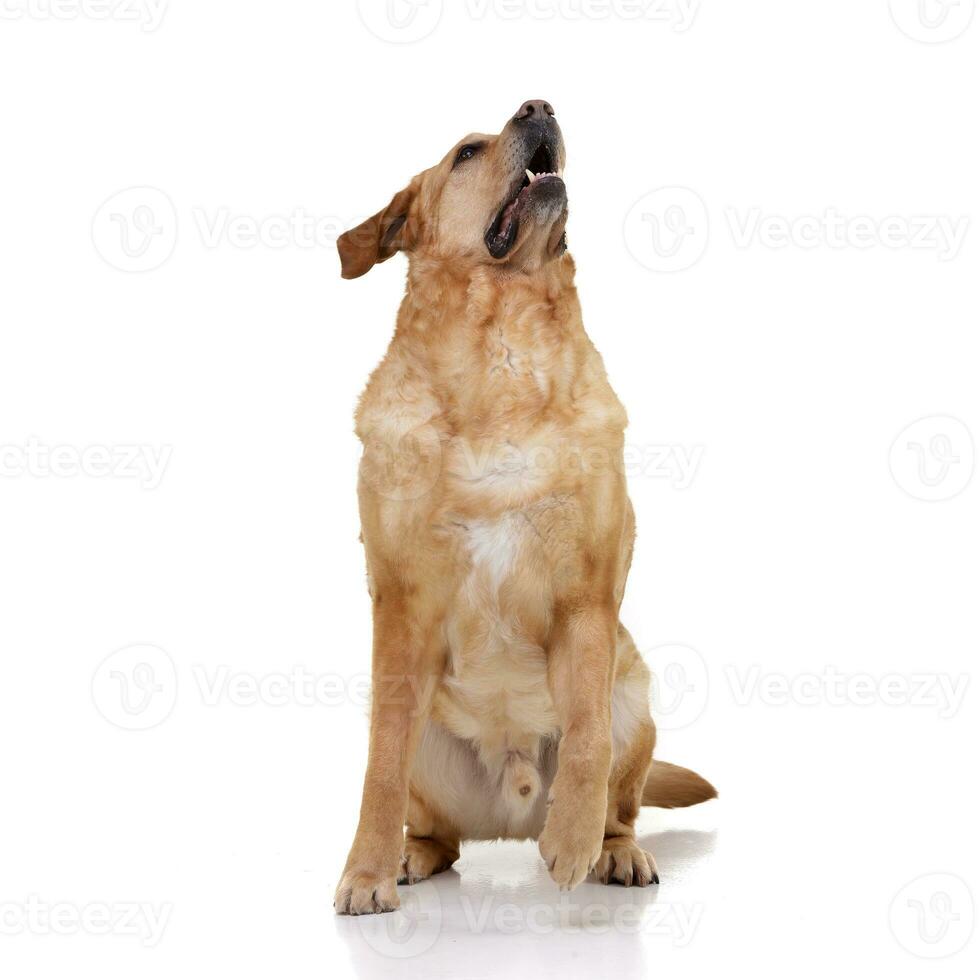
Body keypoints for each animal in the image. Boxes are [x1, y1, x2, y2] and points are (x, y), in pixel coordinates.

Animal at [334, 95, 712, 916]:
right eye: (467, 153)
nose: (538, 105)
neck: (501, 357)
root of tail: (507, 815)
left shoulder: (587, 601)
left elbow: (587, 737)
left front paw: (572, 841)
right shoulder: (400, 610)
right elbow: (380, 763)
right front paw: (368, 871)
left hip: (636, 700)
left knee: (622, 799)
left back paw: (611, 850)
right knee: (435, 826)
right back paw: (411, 855)